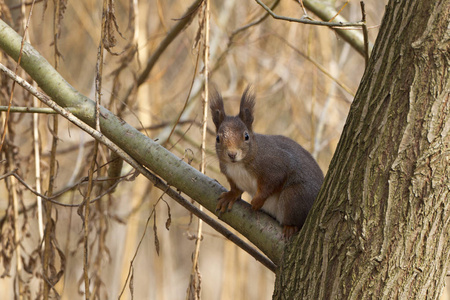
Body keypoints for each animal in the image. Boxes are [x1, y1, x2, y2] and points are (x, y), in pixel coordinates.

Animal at [210, 87, 324, 239]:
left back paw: (290, 227)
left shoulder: (275, 165)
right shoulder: (230, 174)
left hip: (294, 196)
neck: (237, 165)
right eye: (217, 138)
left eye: (246, 136)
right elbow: (236, 188)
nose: (232, 154)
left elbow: (272, 182)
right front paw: (230, 196)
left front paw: (257, 201)